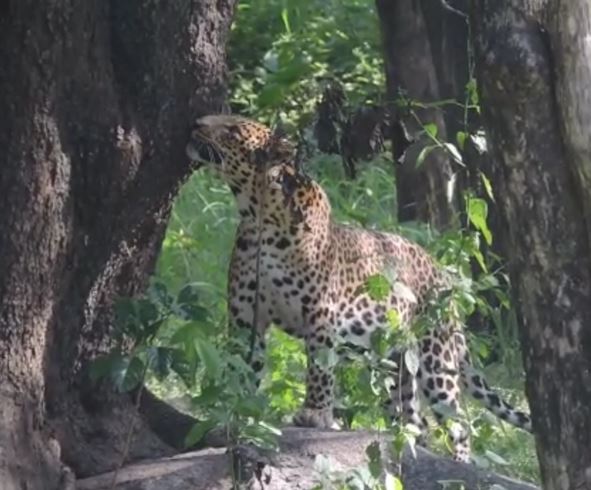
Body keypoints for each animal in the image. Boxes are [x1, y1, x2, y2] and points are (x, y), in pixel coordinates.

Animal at [185, 114, 532, 464]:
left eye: (232, 130)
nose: (196, 122)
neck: (258, 216)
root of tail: (445, 278)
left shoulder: (319, 313)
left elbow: (319, 366)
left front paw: (315, 414)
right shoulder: (246, 315)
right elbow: (242, 364)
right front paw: (237, 406)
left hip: (437, 359)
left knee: (459, 423)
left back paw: (458, 461)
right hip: (395, 363)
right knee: (413, 417)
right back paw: (409, 445)